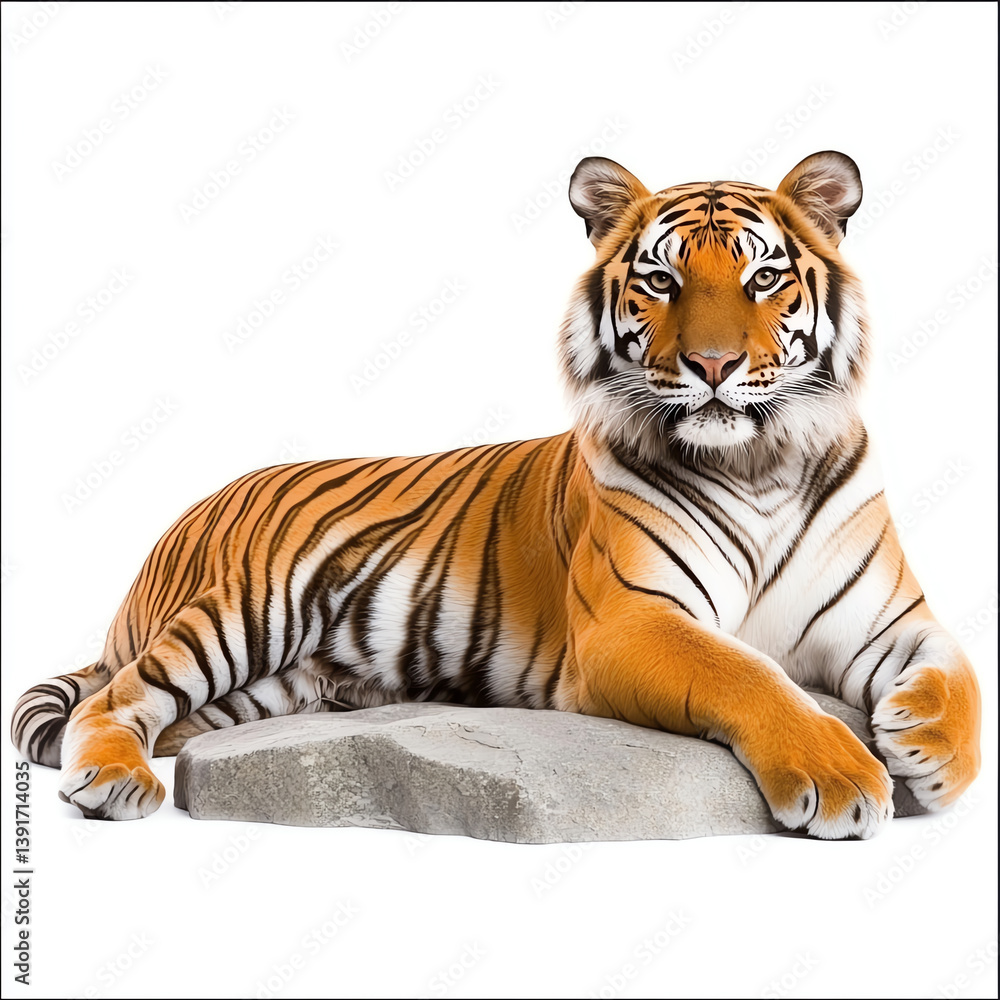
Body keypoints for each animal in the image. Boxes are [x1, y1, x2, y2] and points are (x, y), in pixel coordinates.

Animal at [12, 150, 981, 838]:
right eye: (662, 280)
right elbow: (746, 672)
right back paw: (114, 782)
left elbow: (963, 674)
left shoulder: (890, 618)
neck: (761, 462)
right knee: (113, 698)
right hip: (245, 611)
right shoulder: (632, 620)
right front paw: (839, 774)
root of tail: (184, 513)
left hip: (277, 686)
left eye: (763, 278)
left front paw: (926, 752)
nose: (713, 365)